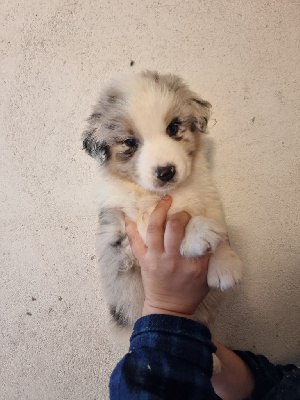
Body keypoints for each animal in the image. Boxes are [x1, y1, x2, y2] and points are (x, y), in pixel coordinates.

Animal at [83, 71, 243, 338]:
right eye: (130, 142)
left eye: (173, 128)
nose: (166, 172)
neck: (168, 193)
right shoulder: (129, 229)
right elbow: (173, 218)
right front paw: (198, 232)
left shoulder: (208, 195)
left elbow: (215, 222)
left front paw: (225, 267)